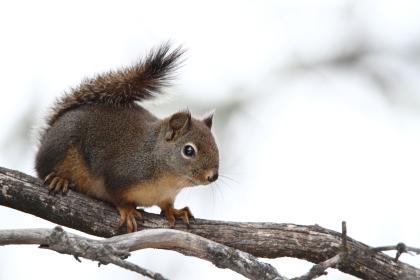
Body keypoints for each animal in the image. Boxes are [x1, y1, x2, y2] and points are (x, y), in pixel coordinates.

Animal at [33, 43, 220, 232]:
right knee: (44, 170)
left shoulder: (167, 195)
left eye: (215, 145)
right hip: (60, 148)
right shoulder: (119, 174)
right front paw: (128, 211)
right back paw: (59, 179)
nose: (213, 176)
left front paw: (174, 211)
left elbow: (166, 205)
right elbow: (116, 196)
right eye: (188, 150)